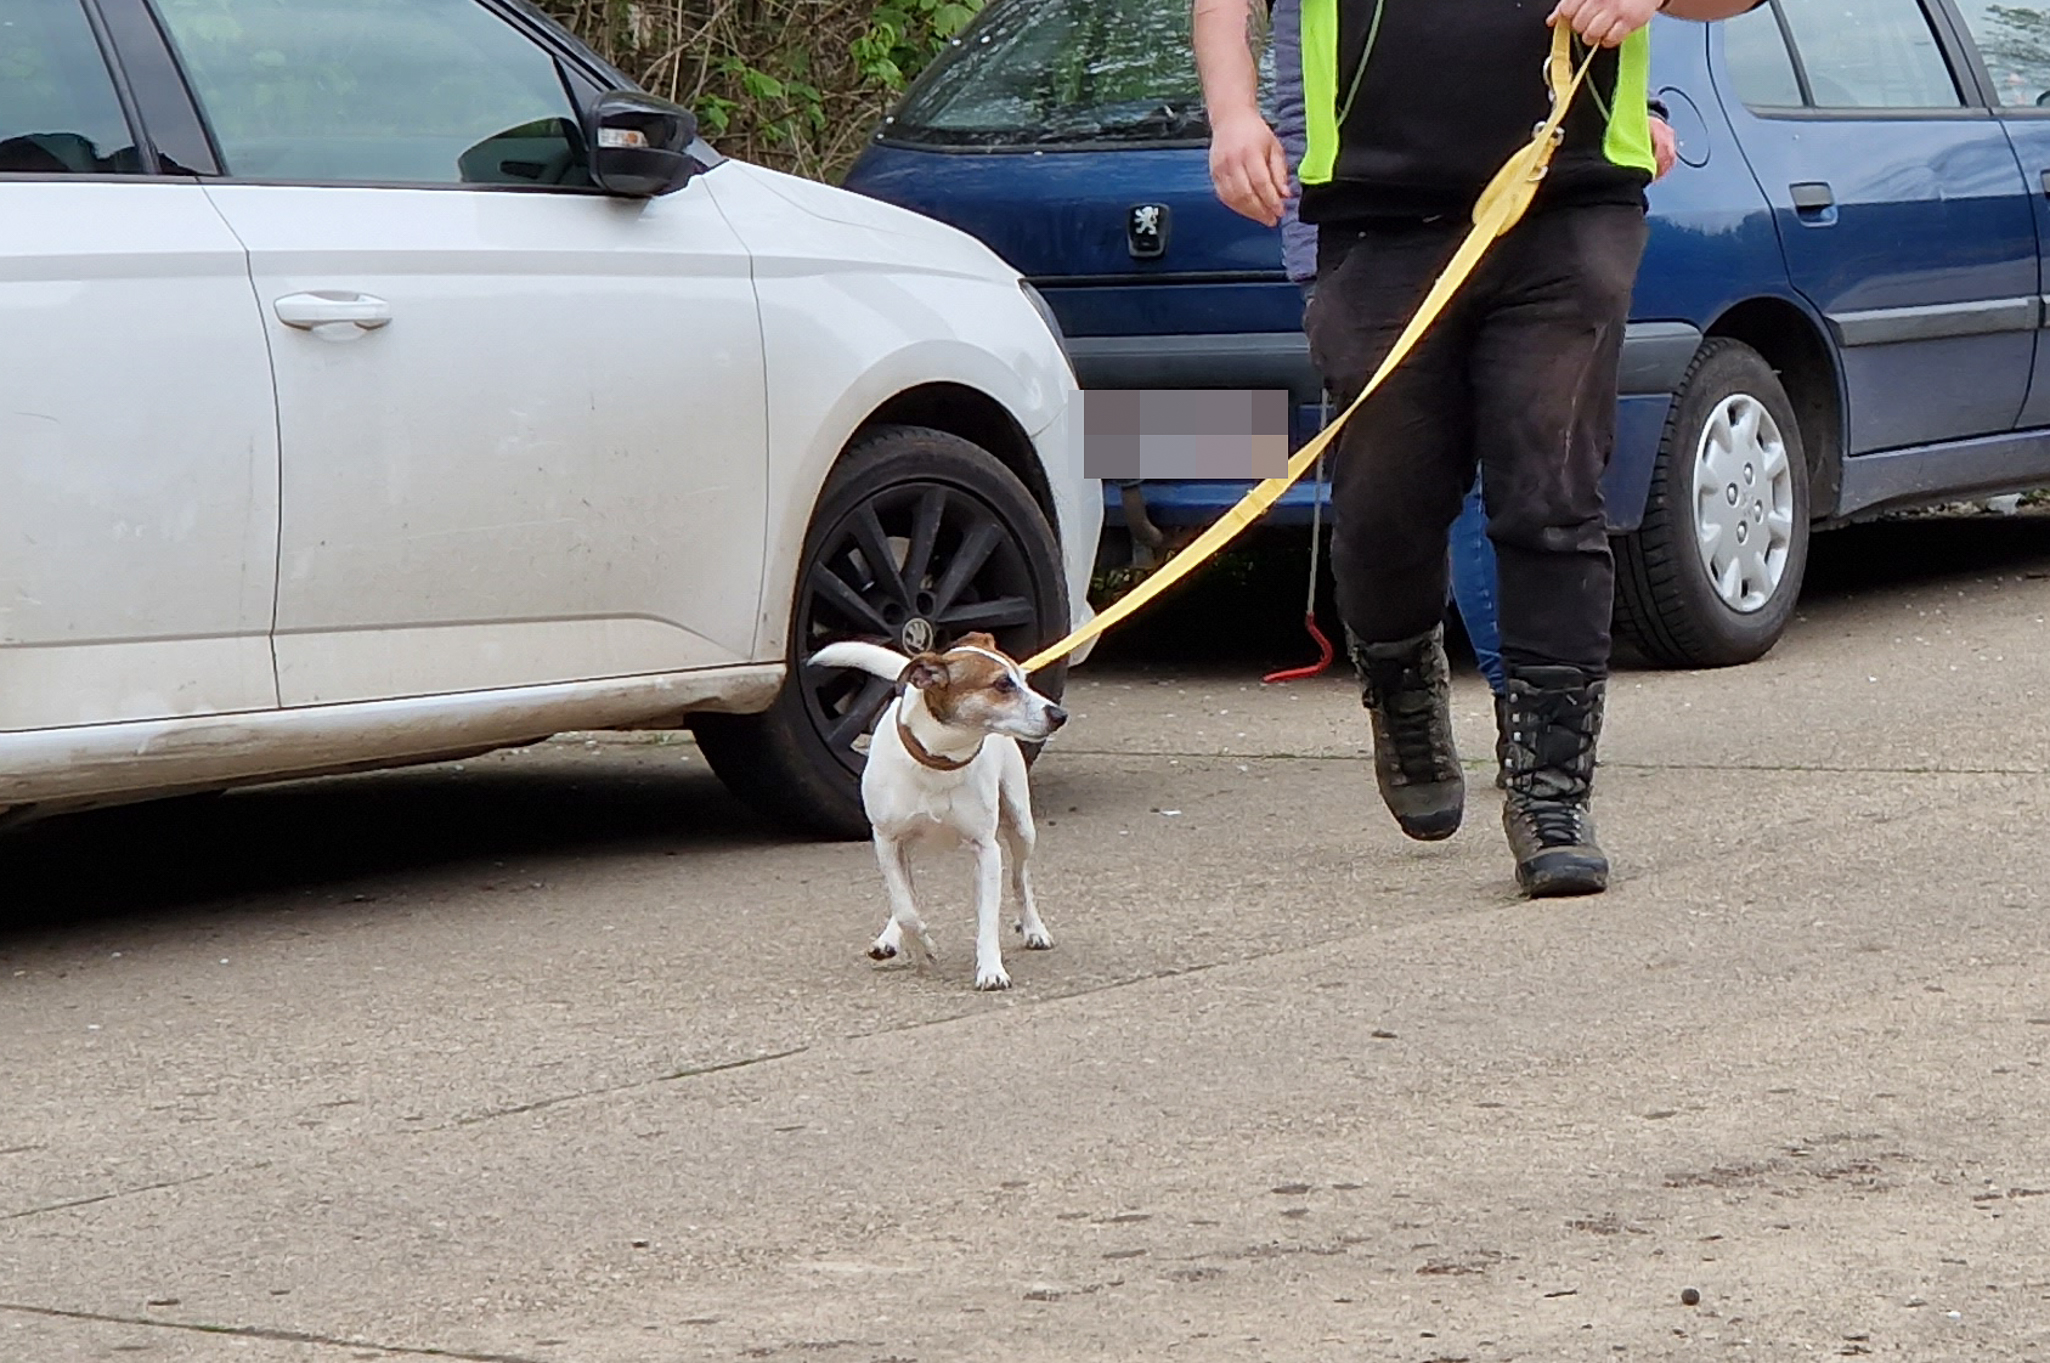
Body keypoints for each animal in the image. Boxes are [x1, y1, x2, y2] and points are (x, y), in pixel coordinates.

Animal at [803, 627, 1074, 987]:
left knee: (1021, 879)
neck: (940, 760)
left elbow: (988, 916)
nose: (1059, 714)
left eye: (1025, 679)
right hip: (906, 846)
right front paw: (921, 948)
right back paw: (891, 938)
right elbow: (905, 908)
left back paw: (1033, 928)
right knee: (906, 895)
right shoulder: (887, 842)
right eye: (1003, 684)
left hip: (1020, 825)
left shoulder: (987, 849)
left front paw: (991, 969)